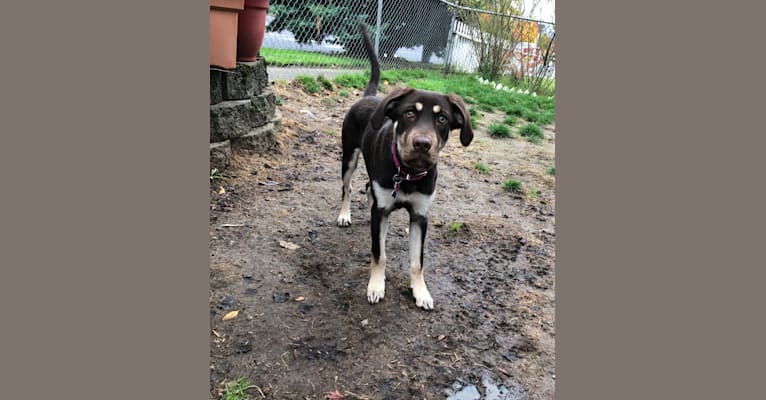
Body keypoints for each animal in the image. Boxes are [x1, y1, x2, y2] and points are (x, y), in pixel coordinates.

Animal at [338, 22, 474, 310]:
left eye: (442, 119)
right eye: (409, 113)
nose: (422, 143)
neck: (409, 173)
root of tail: (370, 96)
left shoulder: (420, 215)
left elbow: (417, 261)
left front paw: (421, 291)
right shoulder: (382, 212)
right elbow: (379, 254)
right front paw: (376, 286)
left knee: (368, 188)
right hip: (349, 157)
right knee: (348, 187)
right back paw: (344, 214)